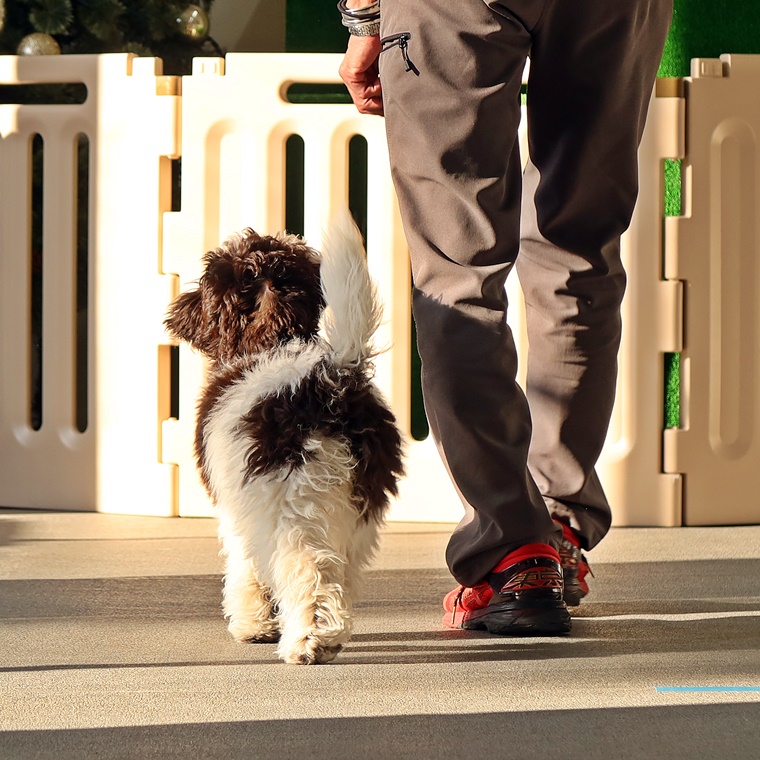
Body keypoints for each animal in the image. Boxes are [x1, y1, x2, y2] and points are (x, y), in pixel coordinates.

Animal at [165, 212, 404, 664]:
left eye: (209, 285)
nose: (180, 308)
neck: (273, 343)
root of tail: (331, 379)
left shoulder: (239, 507)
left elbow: (245, 567)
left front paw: (253, 624)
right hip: (357, 507)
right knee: (339, 571)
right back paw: (328, 634)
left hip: (291, 500)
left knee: (310, 569)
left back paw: (309, 642)